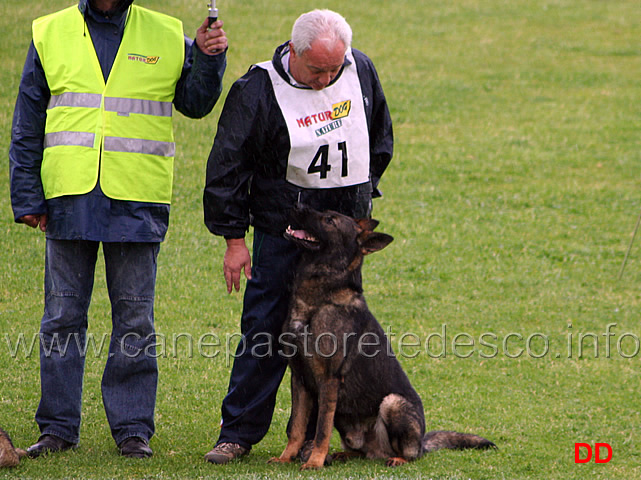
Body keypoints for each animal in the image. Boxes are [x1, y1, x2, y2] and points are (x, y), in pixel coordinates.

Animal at [272, 205, 496, 468]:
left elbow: (321, 430)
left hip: (392, 403)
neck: (319, 300)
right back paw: (345, 454)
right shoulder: (299, 379)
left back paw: (397, 458)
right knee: (361, 452)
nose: (297, 205)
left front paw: (315, 461)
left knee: (411, 455)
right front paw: (286, 457)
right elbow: (297, 427)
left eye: (329, 220)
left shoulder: (328, 380)